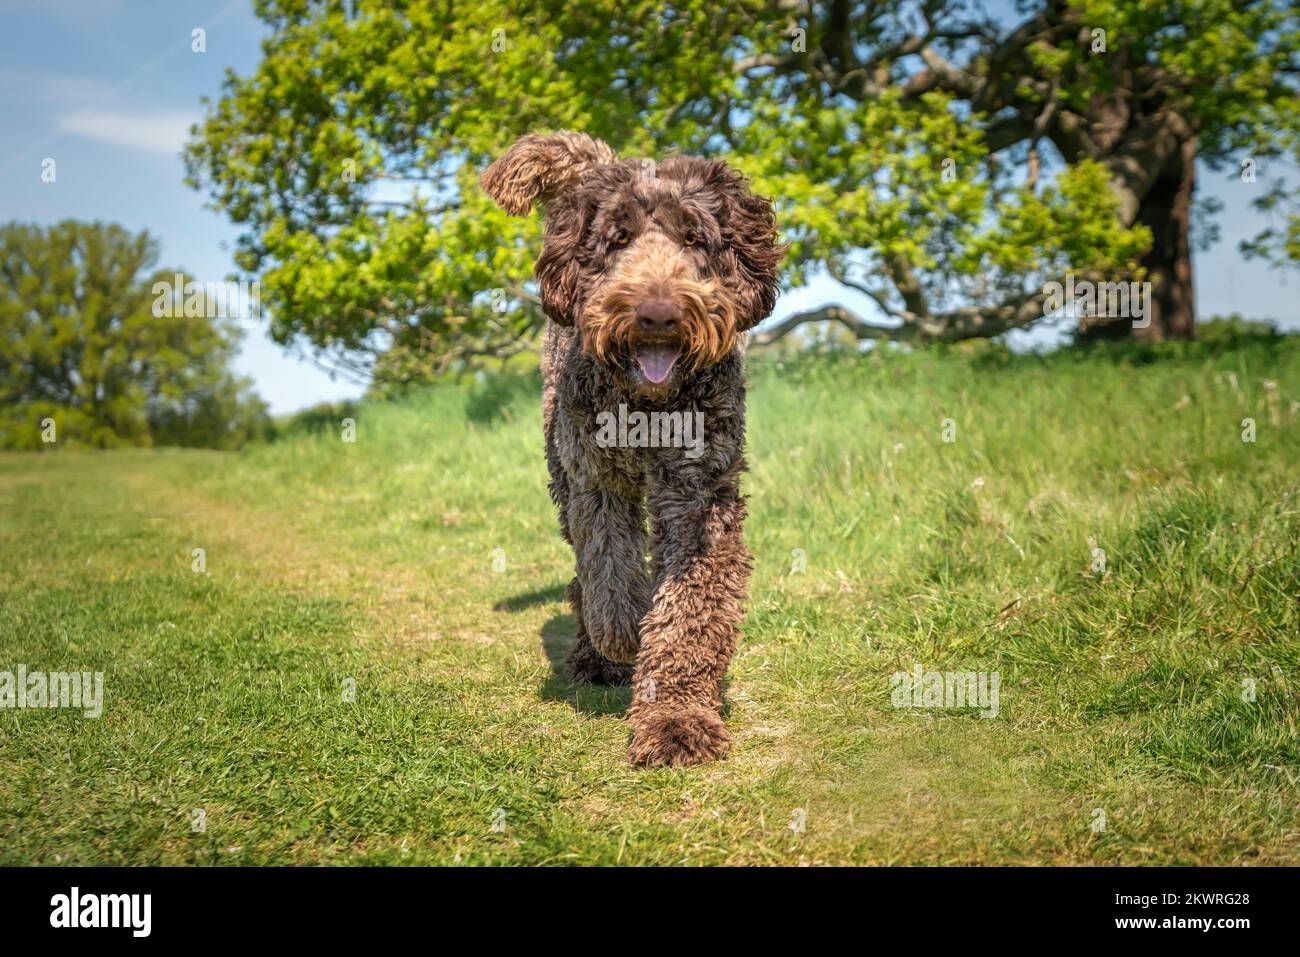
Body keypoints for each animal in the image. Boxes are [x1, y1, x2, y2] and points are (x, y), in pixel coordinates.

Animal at [480, 130, 774, 764]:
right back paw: (595, 653)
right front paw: (620, 634)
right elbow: (610, 570)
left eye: (693, 238)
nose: (657, 314)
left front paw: (676, 718)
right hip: (561, 467)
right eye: (618, 239)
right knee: (583, 570)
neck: (648, 406)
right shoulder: (597, 480)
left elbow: (689, 608)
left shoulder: (699, 497)